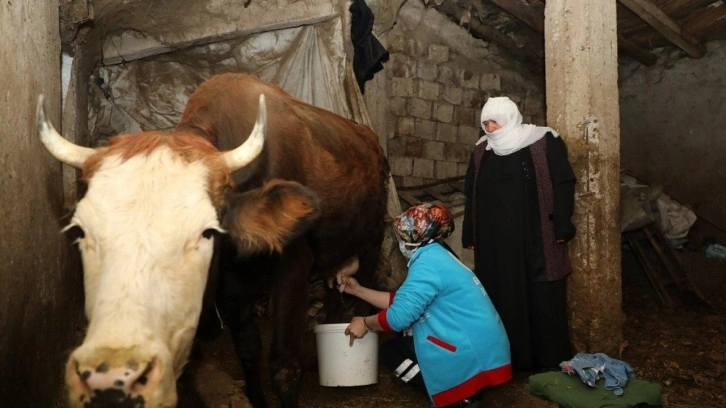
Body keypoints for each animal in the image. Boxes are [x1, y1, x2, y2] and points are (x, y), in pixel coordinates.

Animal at [38, 74, 392, 408]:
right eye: (83, 231)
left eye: (206, 231)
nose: (118, 371)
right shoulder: (231, 294)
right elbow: (249, 356)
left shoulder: (293, 268)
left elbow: (284, 366)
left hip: (372, 238)